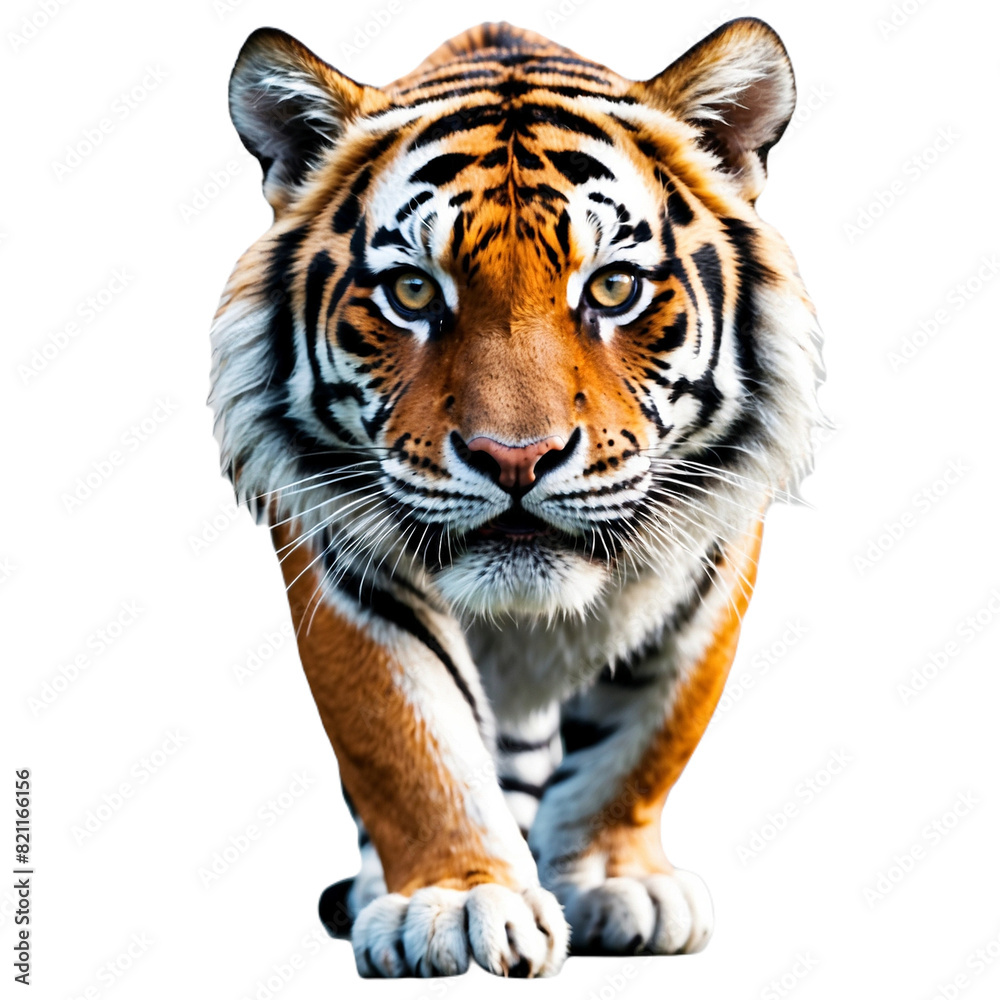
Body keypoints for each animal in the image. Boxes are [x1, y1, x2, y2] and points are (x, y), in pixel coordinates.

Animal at [209, 17, 823, 978]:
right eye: (413, 291)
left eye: (613, 286)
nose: (515, 459)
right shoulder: (340, 551)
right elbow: (404, 735)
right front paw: (453, 901)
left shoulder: (713, 553)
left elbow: (645, 740)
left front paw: (617, 880)